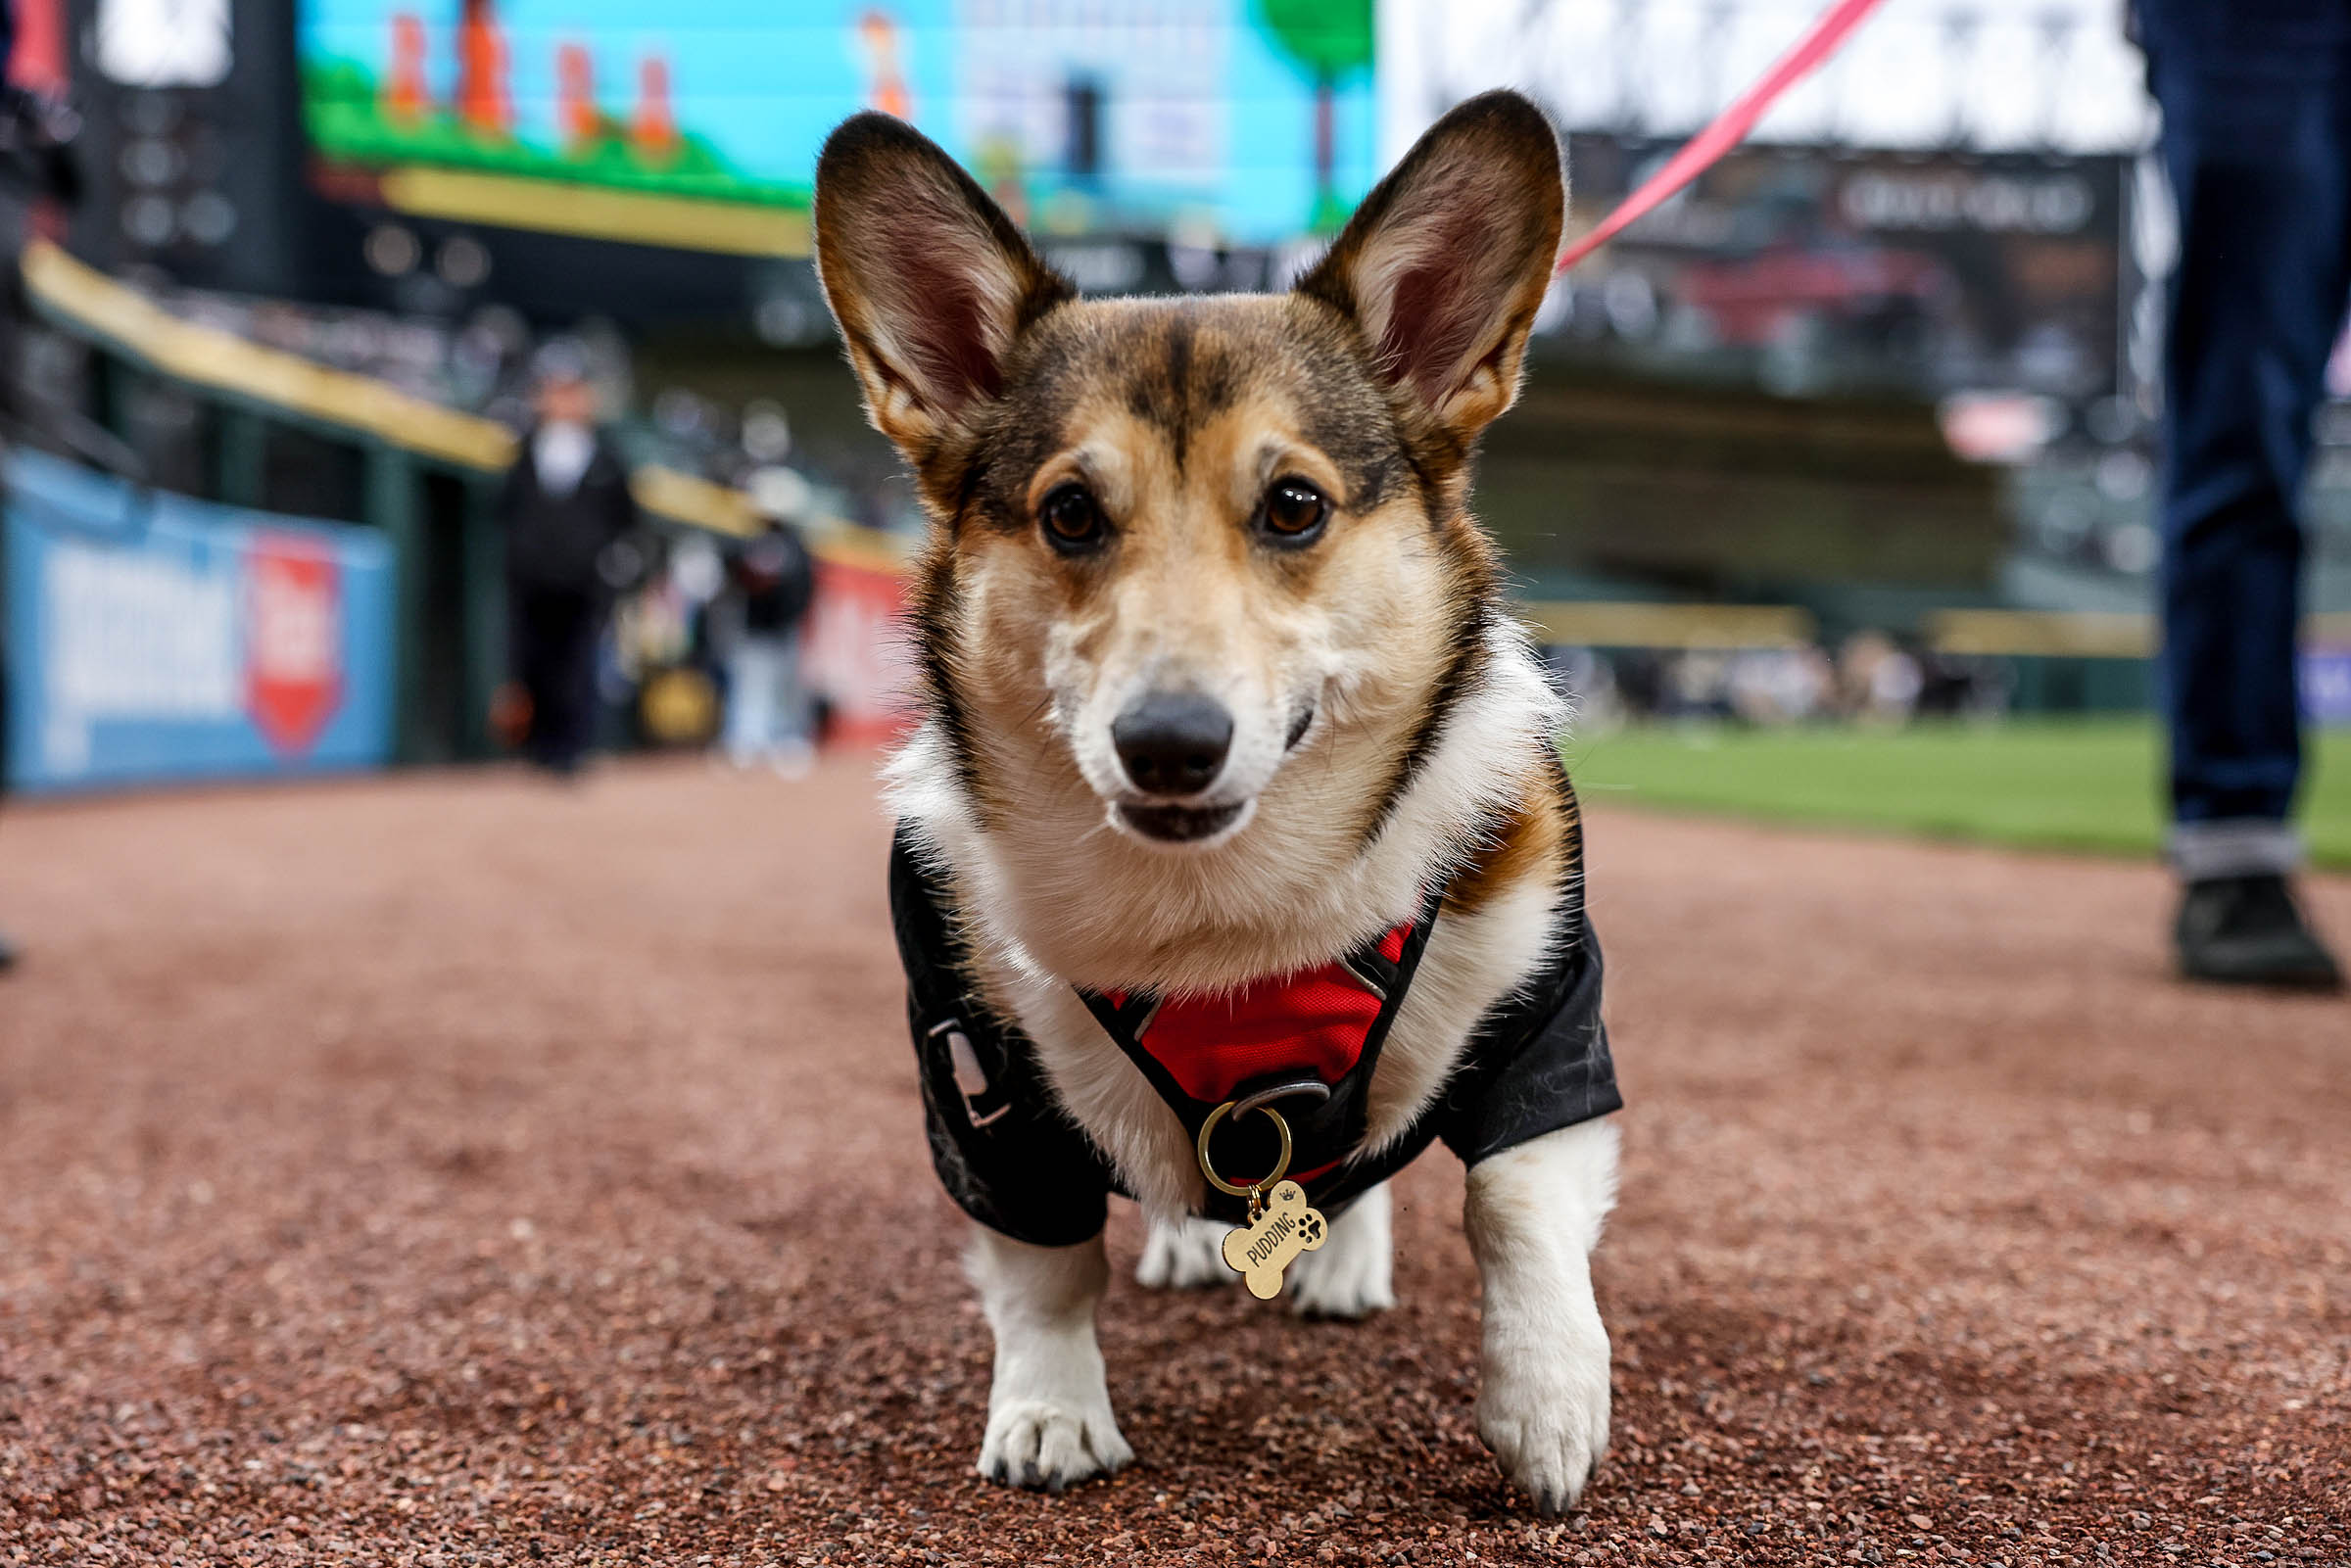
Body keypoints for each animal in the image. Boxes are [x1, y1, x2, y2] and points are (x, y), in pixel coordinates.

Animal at [818, 92, 1626, 1513]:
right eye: (1070, 513)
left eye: (1294, 504)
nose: (1170, 746)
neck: (1222, 923)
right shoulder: (977, 1081)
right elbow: (1044, 1269)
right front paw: (1049, 1413)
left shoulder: (1546, 991)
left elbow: (1513, 1196)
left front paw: (1549, 1404)